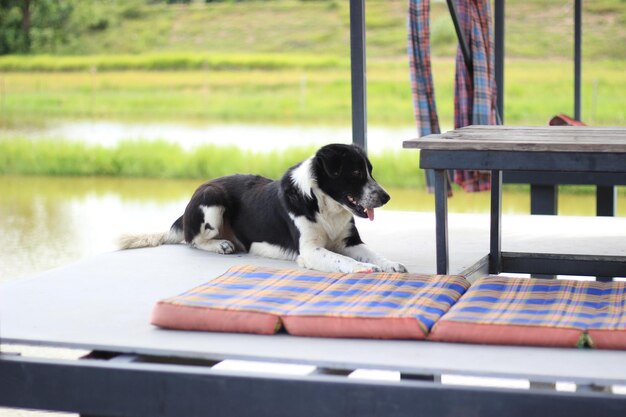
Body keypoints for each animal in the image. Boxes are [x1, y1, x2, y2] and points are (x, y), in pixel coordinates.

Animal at [119, 143, 408, 272]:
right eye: (356, 173)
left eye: (370, 171)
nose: (386, 197)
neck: (324, 206)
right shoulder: (310, 251)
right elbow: (341, 259)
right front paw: (360, 268)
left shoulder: (350, 241)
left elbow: (373, 253)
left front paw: (390, 264)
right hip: (212, 197)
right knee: (192, 240)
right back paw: (221, 245)